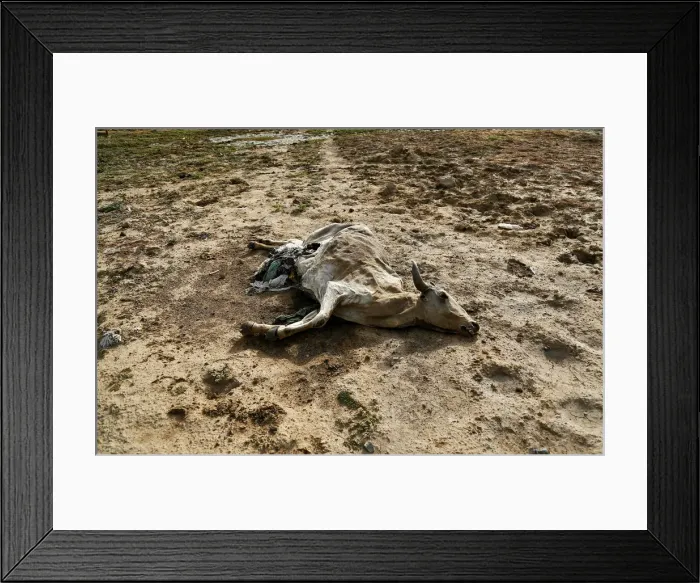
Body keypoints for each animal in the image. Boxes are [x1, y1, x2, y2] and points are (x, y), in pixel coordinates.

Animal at [240, 223, 480, 340]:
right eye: (443, 295)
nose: (474, 325)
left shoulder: (327, 303)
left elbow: (310, 319)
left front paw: (266, 329)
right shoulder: (336, 289)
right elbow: (320, 320)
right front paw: (259, 329)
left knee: (296, 244)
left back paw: (260, 243)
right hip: (316, 235)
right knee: (296, 241)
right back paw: (259, 243)